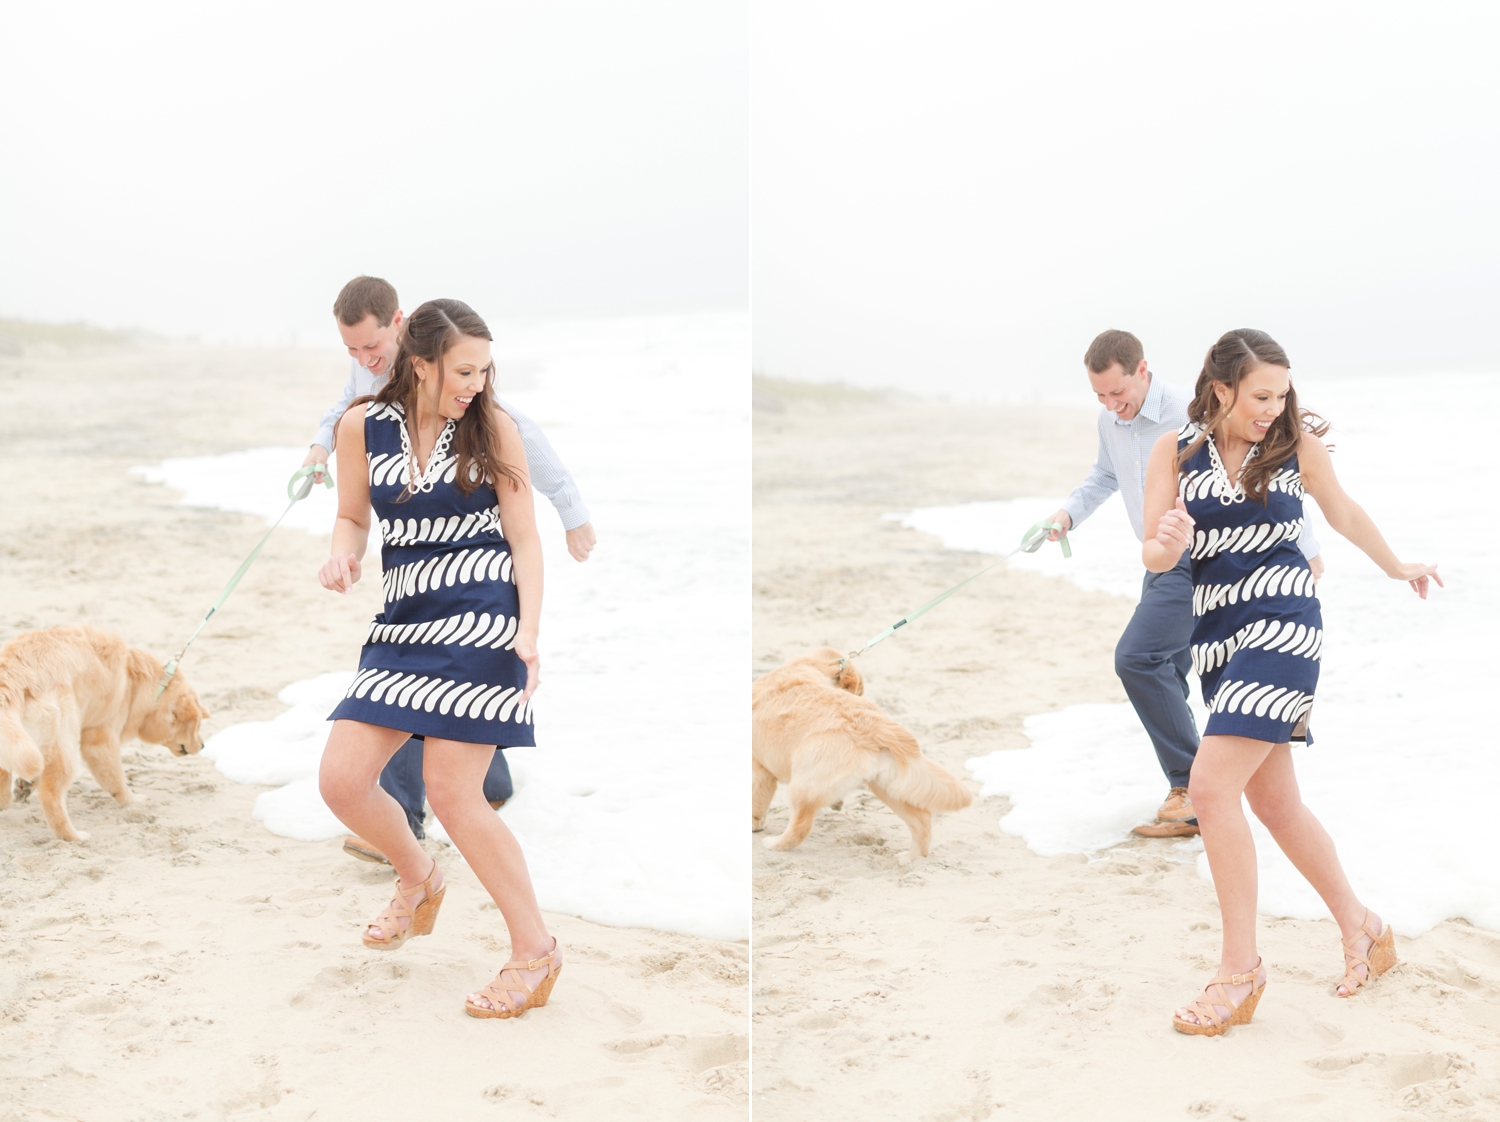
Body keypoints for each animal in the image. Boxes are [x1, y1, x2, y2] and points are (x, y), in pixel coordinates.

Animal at [0, 627, 211, 840]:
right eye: (196, 726)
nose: (202, 745)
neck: (137, 683)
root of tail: (12, 672)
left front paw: (26, 785)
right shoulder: (101, 739)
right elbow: (116, 779)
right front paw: (132, 800)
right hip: (64, 745)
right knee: (50, 794)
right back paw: (73, 836)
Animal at [750, 645, 972, 852]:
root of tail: (874, 726)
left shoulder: (759, 769)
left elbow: (757, 801)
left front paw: (754, 824)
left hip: (803, 784)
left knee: (800, 827)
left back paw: (774, 843)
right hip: (885, 786)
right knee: (922, 821)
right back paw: (910, 858)